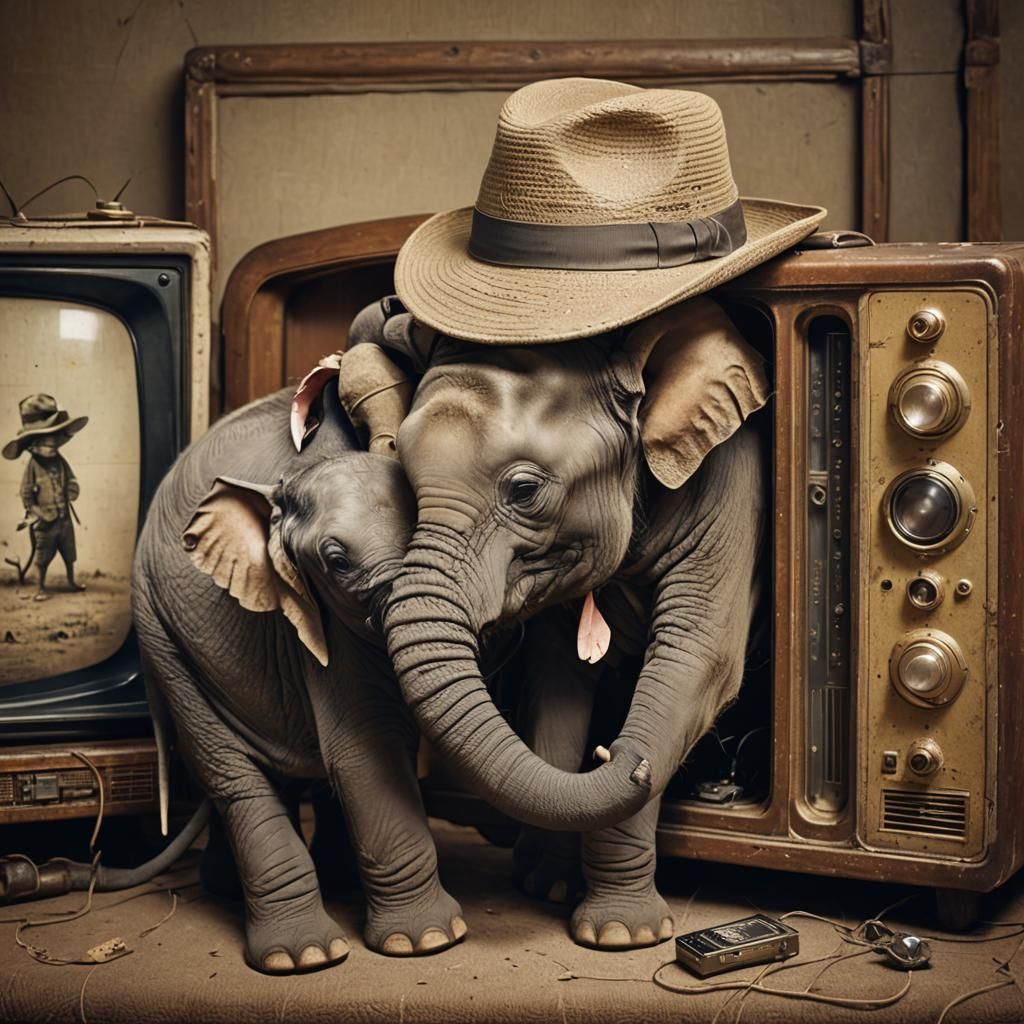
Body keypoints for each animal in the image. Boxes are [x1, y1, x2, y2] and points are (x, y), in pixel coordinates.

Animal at [131, 347, 468, 973]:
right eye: (335, 561)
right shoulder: (311, 609)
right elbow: (364, 746)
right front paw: (431, 942)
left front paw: (421, 936)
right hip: (159, 632)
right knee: (232, 771)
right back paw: (303, 955)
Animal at [361, 294, 768, 951]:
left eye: (525, 490)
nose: (612, 752)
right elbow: (558, 674)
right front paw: (547, 886)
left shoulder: (732, 480)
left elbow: (692, 667)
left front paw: (622, 936)